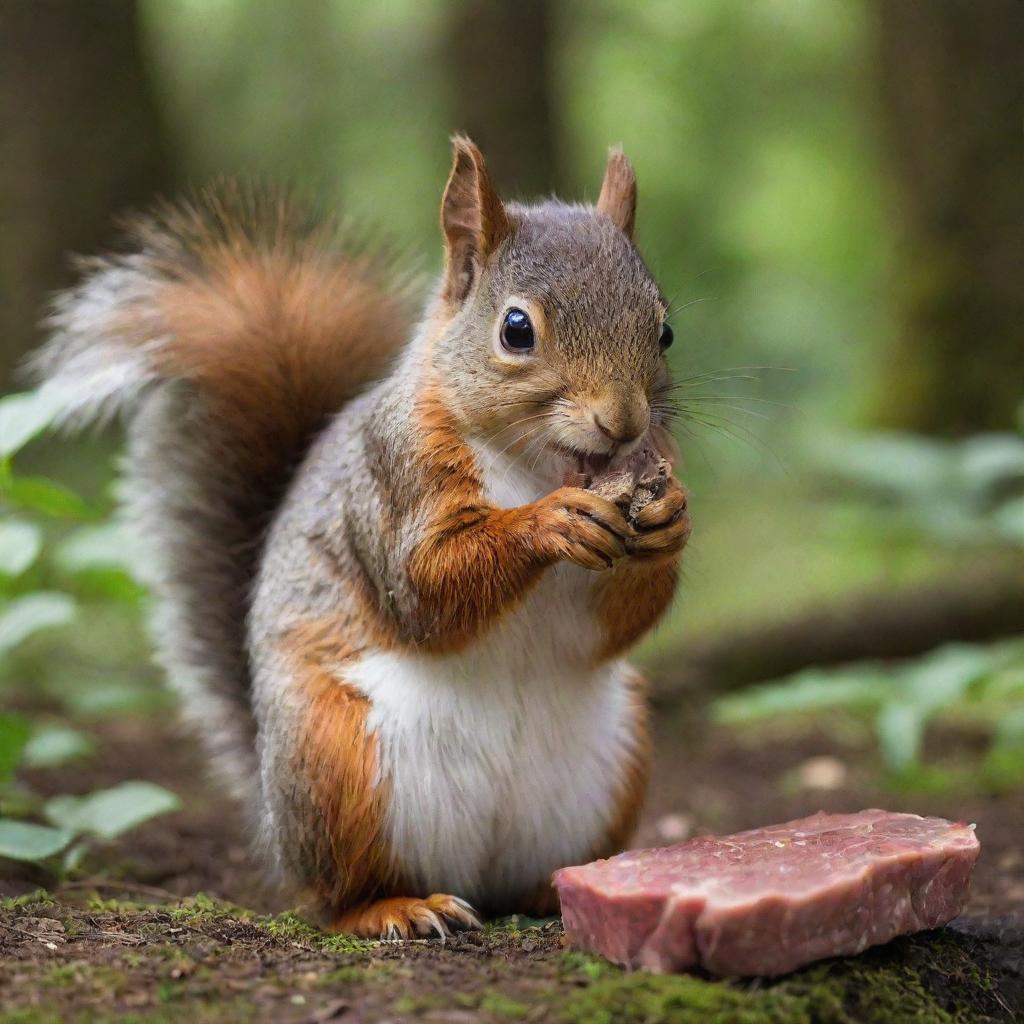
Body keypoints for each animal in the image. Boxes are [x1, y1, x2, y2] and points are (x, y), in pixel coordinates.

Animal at [34, 140, 688, 937]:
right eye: (516, 329)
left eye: (664, 329)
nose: (623, 424)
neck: (539, 464)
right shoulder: (391, 481)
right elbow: (425, 588)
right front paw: (548, 522)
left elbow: (618, 621)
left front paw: (670, 516)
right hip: (334, 761)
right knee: (333, 893)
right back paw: (394, 908)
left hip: (616, 756)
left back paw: (551, 888)